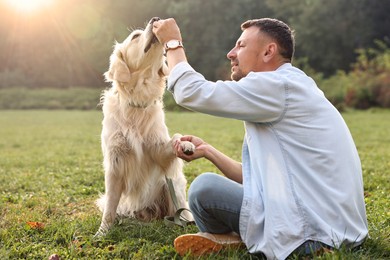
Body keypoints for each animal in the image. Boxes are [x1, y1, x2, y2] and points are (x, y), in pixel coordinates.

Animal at [95, 17, 195, 237]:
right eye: (135, 36)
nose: (155, 19)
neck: (137, 103)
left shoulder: (158, 150)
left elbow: (175, 138)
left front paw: (186, 144)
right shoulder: (115, 163)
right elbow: (110, 206)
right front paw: (103, 231)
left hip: (172, 184)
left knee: (181, 207)